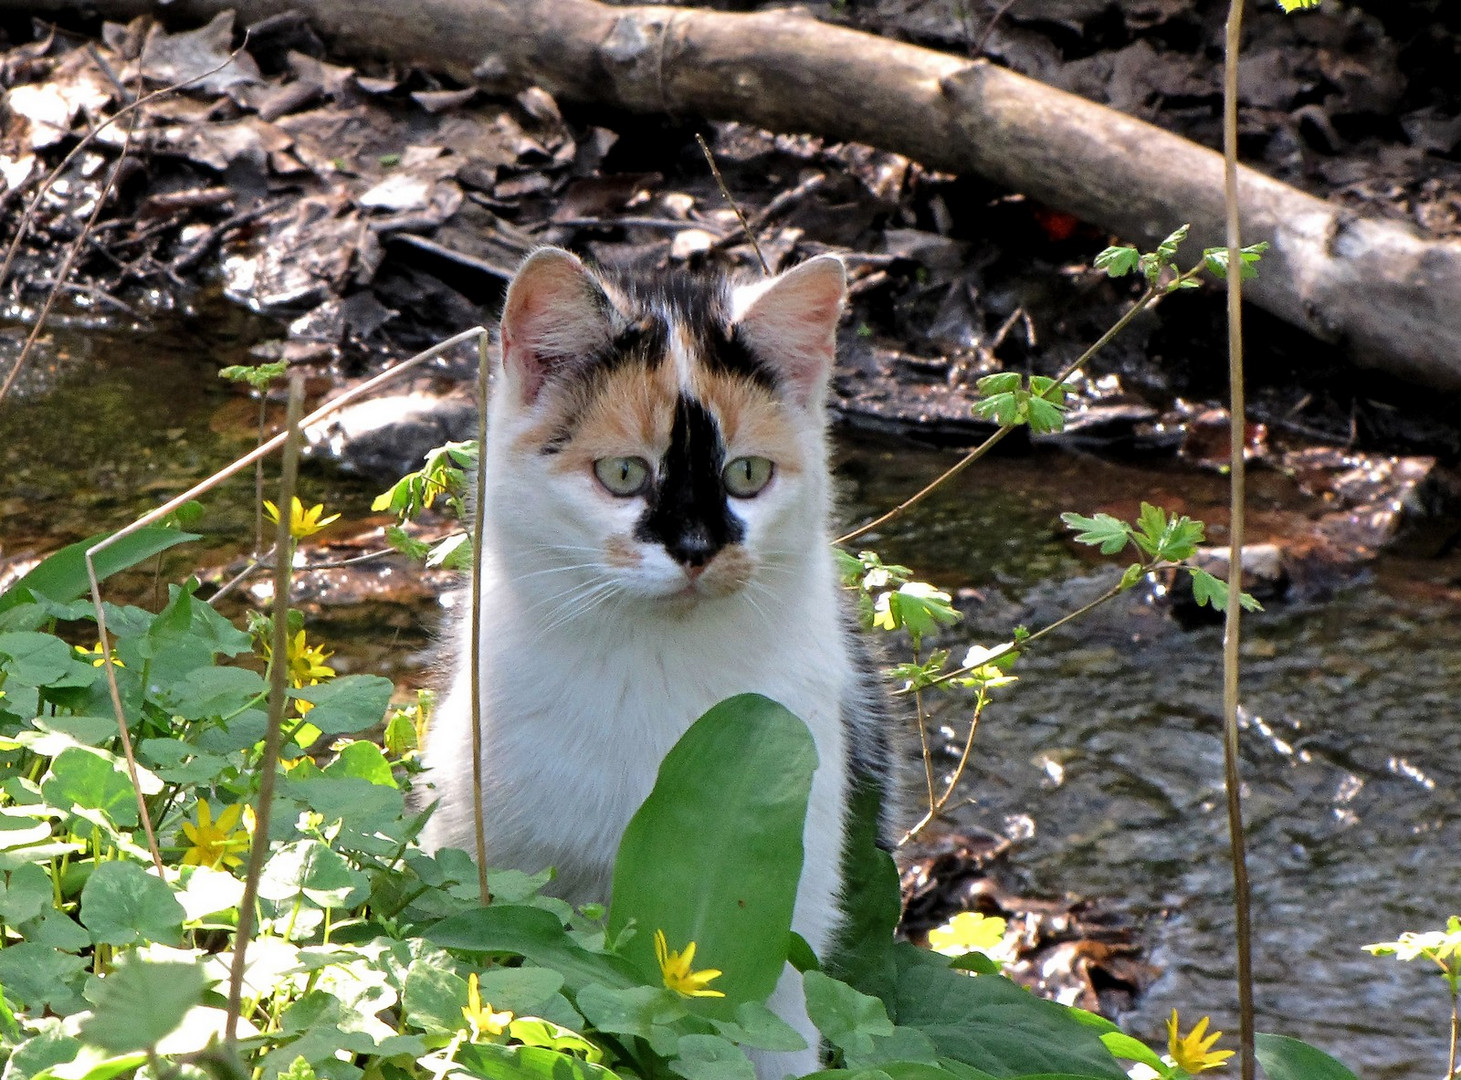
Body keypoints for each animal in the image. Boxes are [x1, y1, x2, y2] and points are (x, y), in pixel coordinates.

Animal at [420, 249, 899, 1075]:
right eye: (621, 474)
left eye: (747, 475)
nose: (697, 548)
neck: (653, 671)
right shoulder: (483, 861)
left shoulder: (786, 938)